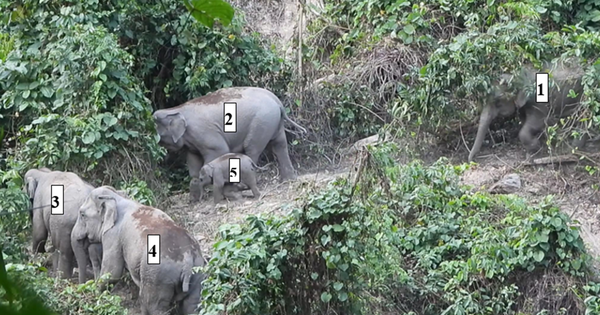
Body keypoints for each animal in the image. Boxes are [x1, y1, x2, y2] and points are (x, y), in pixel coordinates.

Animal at [152, 87, 308, 204]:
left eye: (158, 132)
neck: (177, 109)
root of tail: (277, 101)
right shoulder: (191, 142)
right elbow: (193, 164)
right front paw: (195, 196)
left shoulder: (203, 132)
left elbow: (219, 150)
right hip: (273, 122)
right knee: (280, 145)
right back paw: (289, 179)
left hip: (261, 123)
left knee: (252, 149)